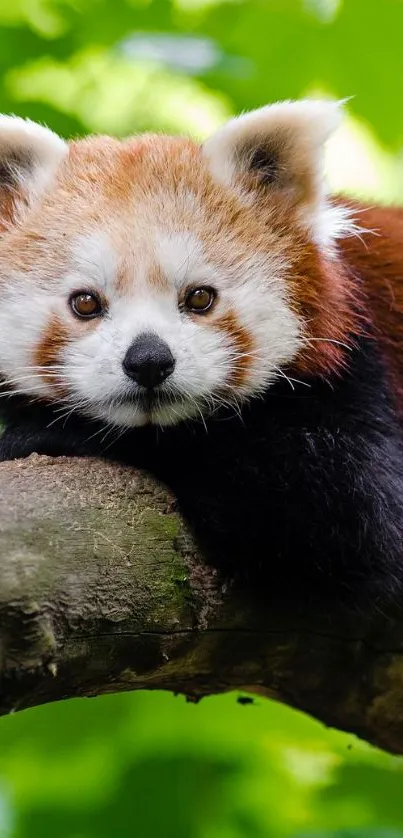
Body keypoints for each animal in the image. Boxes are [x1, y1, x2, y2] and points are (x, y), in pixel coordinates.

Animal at [0, 101, 403, 608]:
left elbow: (348, 514)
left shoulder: (357, 372)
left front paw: (41, 430)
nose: (148, 360)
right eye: (85, 302)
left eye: (199, 298)